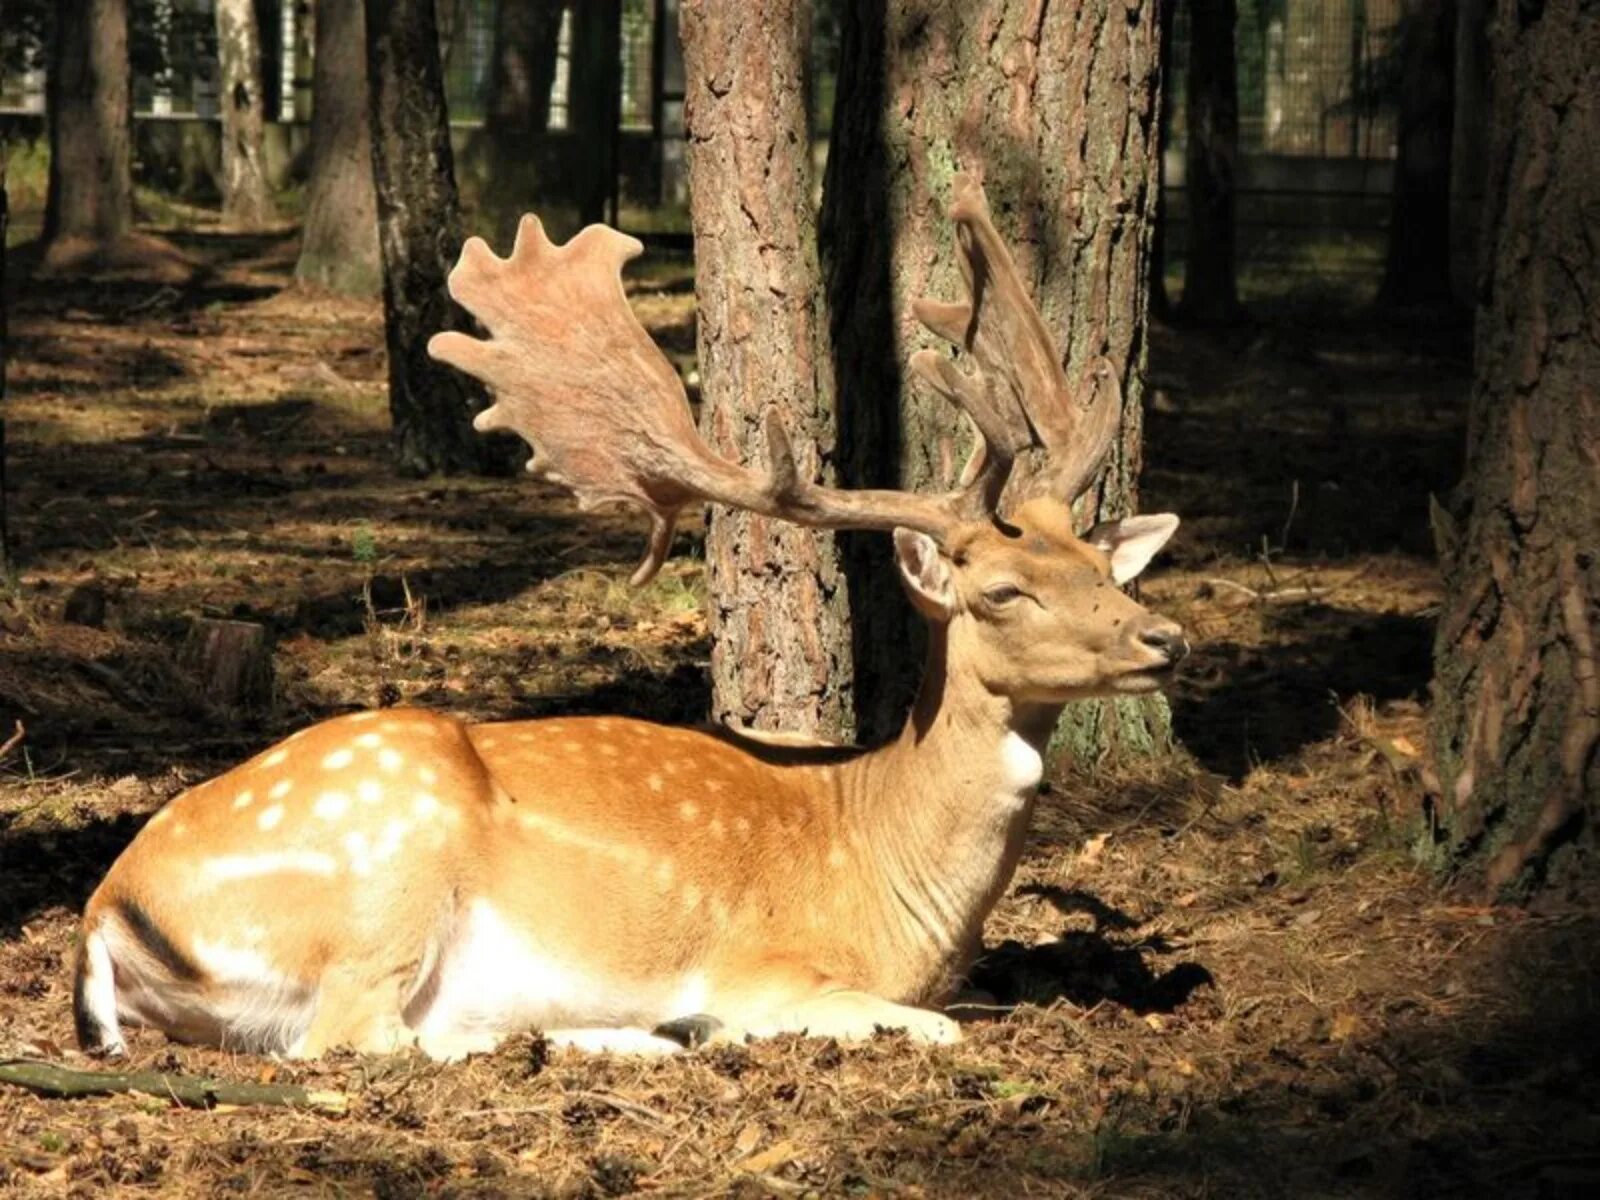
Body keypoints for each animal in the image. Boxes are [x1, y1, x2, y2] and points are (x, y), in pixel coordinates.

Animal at [75, 178, 1190, 1062]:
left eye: (1102, 564)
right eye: (1001, 591)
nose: (1165, 638)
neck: (885, 877)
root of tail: (104, 911)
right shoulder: (767, 964)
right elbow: (936, 1024)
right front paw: (723, 1024)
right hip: (384, 866)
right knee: (351, 1036)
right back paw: (638, 1036)